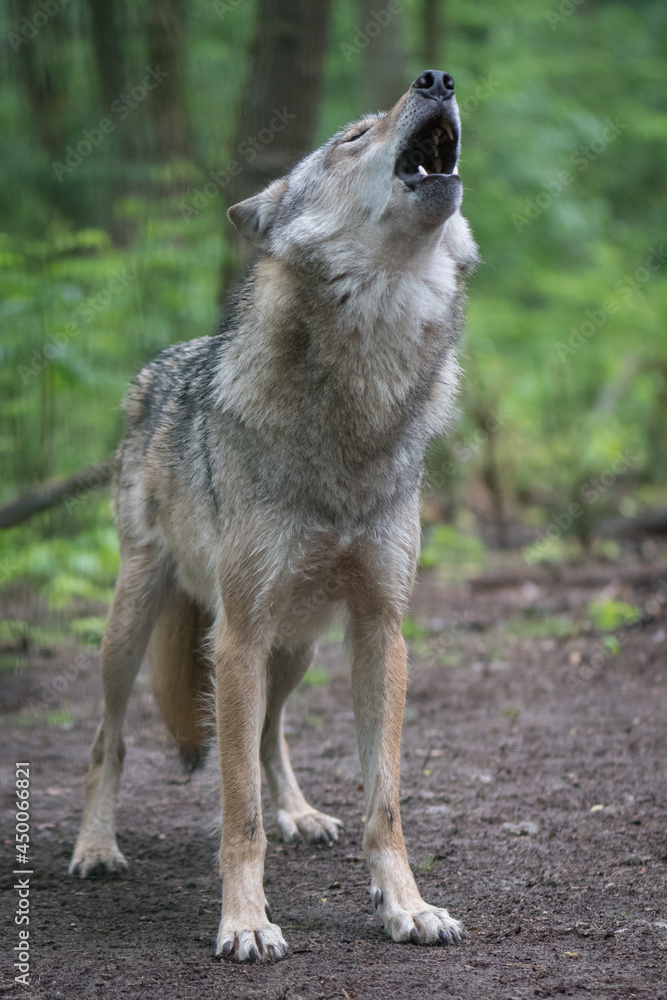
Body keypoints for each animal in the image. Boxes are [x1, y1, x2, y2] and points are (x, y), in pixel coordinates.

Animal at [69, 69, 479, 963]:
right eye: (353, 135)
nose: (435, 79)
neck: (360, 401)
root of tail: (158, 369)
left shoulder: (381, 630)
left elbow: (383, 802)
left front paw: (406, 906)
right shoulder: (238, 638)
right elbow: (235, 813)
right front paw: (246, 921)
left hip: (297, 646)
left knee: (267, 736)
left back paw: (300, 812)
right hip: (139, 626)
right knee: (108, 739)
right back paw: (94, 847)